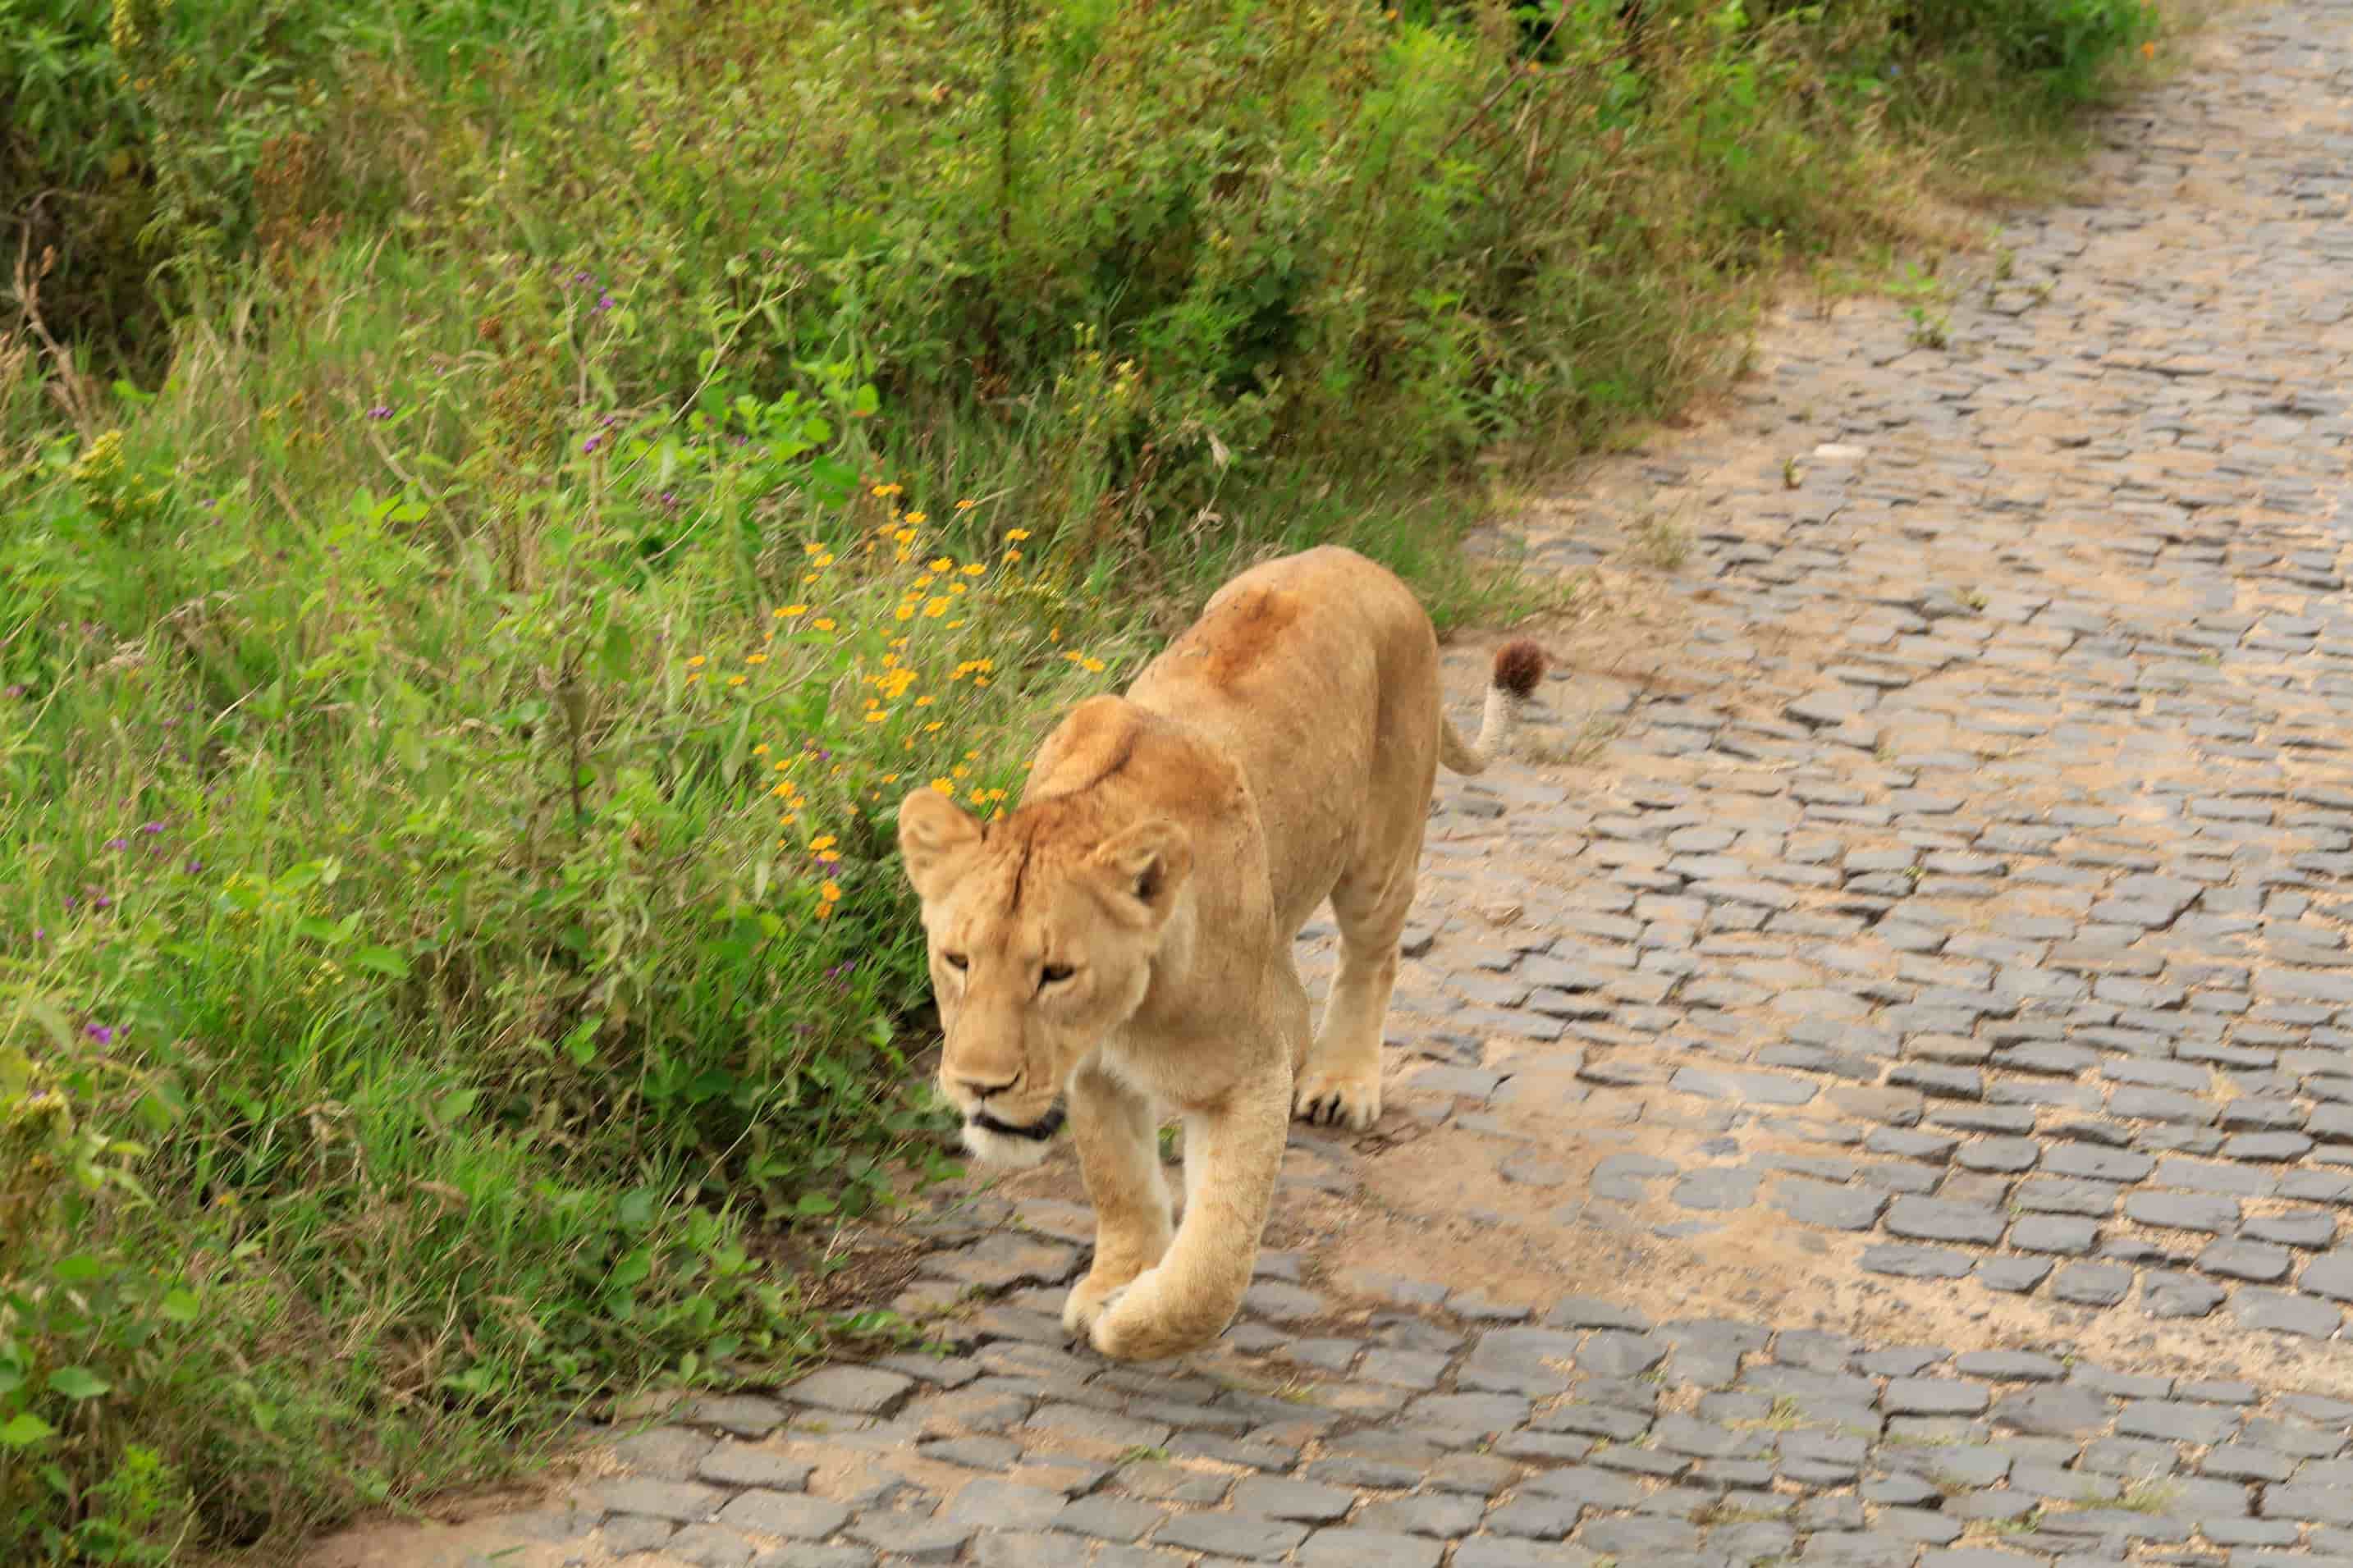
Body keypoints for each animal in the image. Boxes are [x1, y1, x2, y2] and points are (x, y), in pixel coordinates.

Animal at [896, 545, 1545, 1362]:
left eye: (1056, 974)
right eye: (957, 960)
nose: (979, 1086)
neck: (1127, 1012)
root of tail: (1359, 559)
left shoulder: (1242, 1079)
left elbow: (1214, 1258)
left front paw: (1131, 1317)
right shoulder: (1096, 1076)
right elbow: (1120, 1184)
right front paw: (1116, 1279)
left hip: (1381, 851)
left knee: (1370, 959)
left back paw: (1340, 1082)